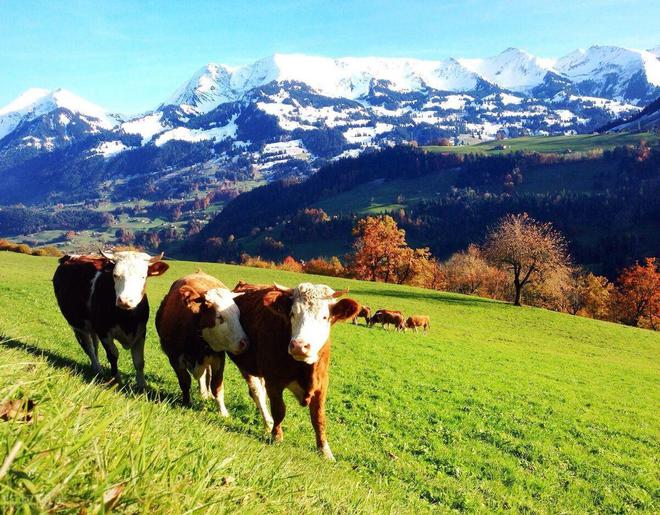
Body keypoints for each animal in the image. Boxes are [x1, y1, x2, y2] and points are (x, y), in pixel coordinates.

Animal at [52, 252, 169, 390]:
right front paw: (116, 379)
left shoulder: (140, 332)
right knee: (88, 346)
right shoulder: (104, 331)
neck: (127, 319)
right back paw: (97, 368)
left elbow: (139, 361)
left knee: (95, 345)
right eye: (115, 275)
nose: (125, 301)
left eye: (143, 276)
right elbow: (113, 355)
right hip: (77, 324)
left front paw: (142, 385)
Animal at [156, 272, 254, 418]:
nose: (245, 343)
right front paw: (187, 402)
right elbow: (185, 381)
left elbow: (217, 386)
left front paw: (223, 412)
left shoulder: (218, 358)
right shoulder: (174, 357)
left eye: (238, 315)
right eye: (219, 317)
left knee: (207, 376)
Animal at [229, 284, 358, 462]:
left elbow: (319, 418)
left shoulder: (322, 384)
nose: (299, 346)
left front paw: (325, 451)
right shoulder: (274, 381)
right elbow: (279, 410)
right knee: (256, 391)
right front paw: (276, 437)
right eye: (292, 314)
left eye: (325, 317)